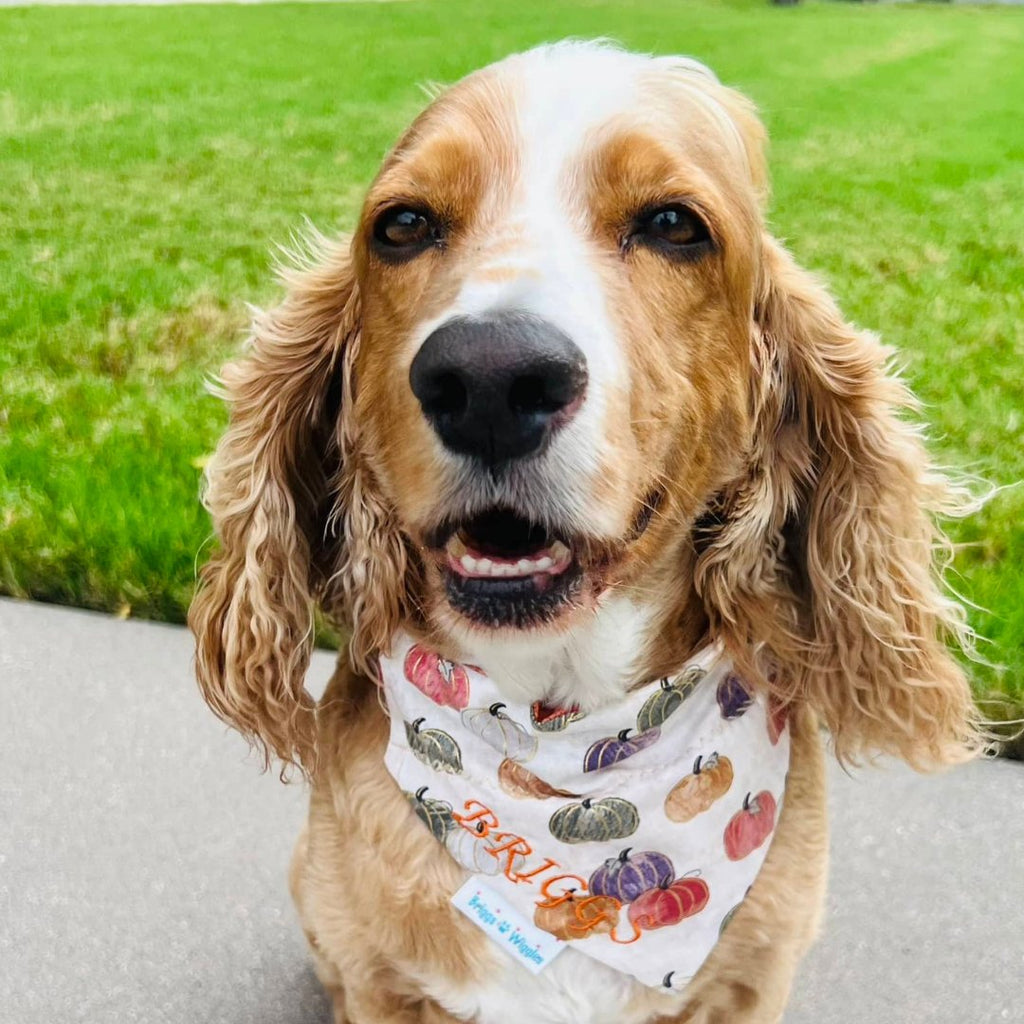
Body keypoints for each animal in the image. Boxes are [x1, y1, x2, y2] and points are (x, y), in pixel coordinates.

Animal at [188, 39, 978, 1024]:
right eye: (401, 225)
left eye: (675, 225)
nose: (489, 379)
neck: (558, 719)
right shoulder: (381, 982)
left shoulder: (751, 983)